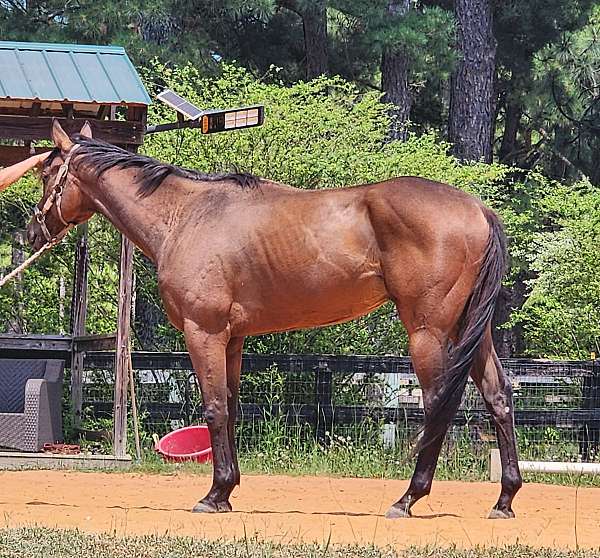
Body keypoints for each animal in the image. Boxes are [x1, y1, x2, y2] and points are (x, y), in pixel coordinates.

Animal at [25, 121, 520, 520]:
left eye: (47, 174)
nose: (30, 232)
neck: (186, 216)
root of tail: (478, 210)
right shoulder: (232, 339)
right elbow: (231, 407)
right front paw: (226, 491)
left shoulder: (203, 333)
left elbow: (214, 408)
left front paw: (212, 496)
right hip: (470, 332)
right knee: (498, 396)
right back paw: (505, 499)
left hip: (428, 333)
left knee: (439, 404)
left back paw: (407, 499)